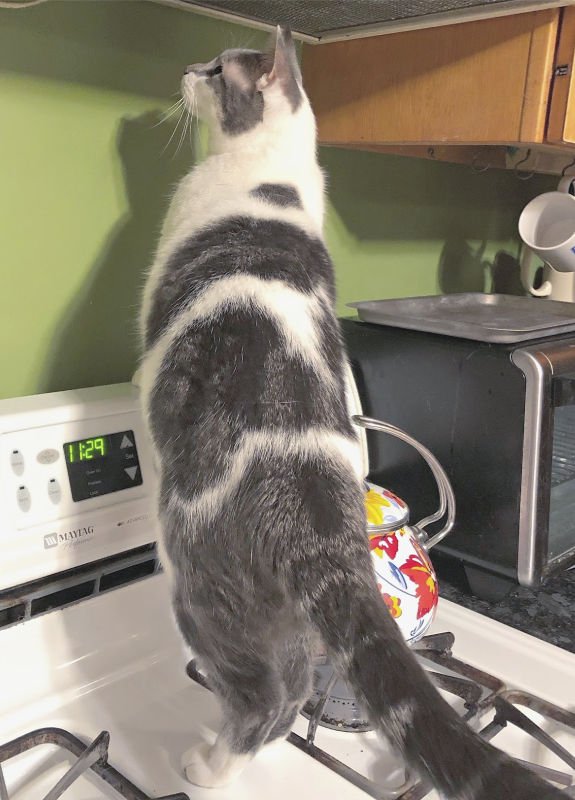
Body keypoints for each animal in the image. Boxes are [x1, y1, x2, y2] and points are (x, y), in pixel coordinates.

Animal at [141, 25, 568, 800]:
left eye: (217, 70)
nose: (187, 68)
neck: (271, 174)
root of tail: (314, 508)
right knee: (291, 687)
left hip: (204, 591)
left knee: (266, 698)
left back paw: (205, 768)